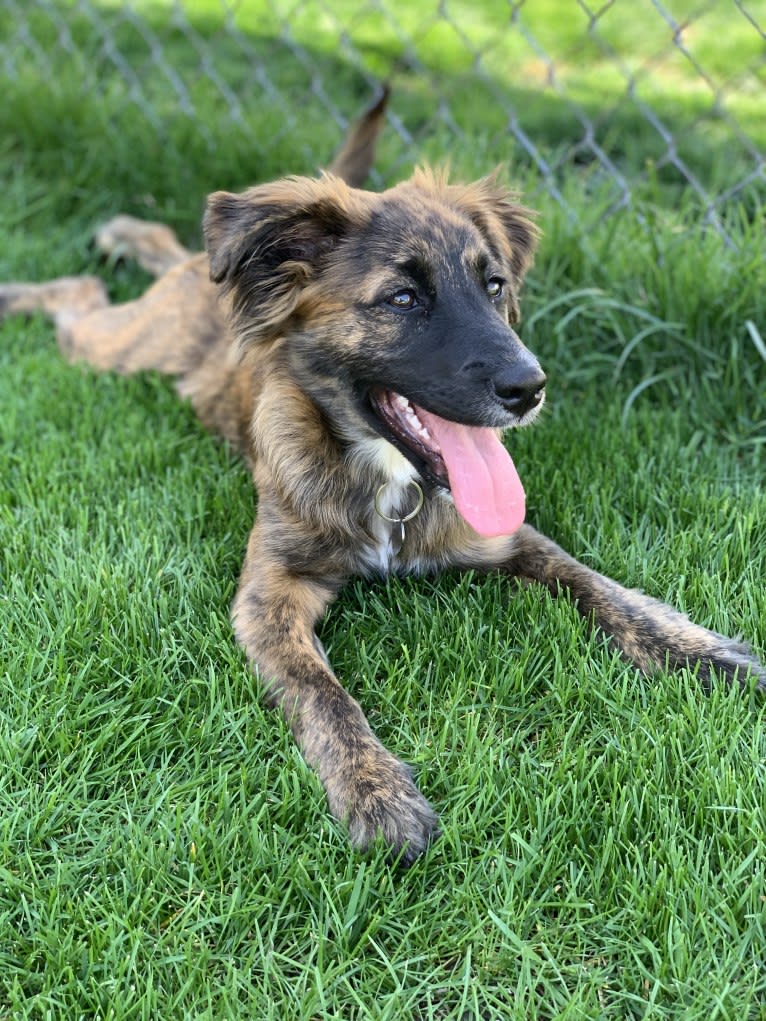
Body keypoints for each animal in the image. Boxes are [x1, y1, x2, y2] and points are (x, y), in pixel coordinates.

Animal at [3, 93, 763, 861]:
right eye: (402, 299)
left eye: (495, 286)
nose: (530, 388)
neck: (390, 483)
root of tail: (211, 267)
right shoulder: (269, 595)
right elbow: (322, 693)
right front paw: (376, 790)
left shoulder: (510, 537)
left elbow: (603, 589)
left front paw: (703, 654)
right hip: (114, 347)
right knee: (85, 293)